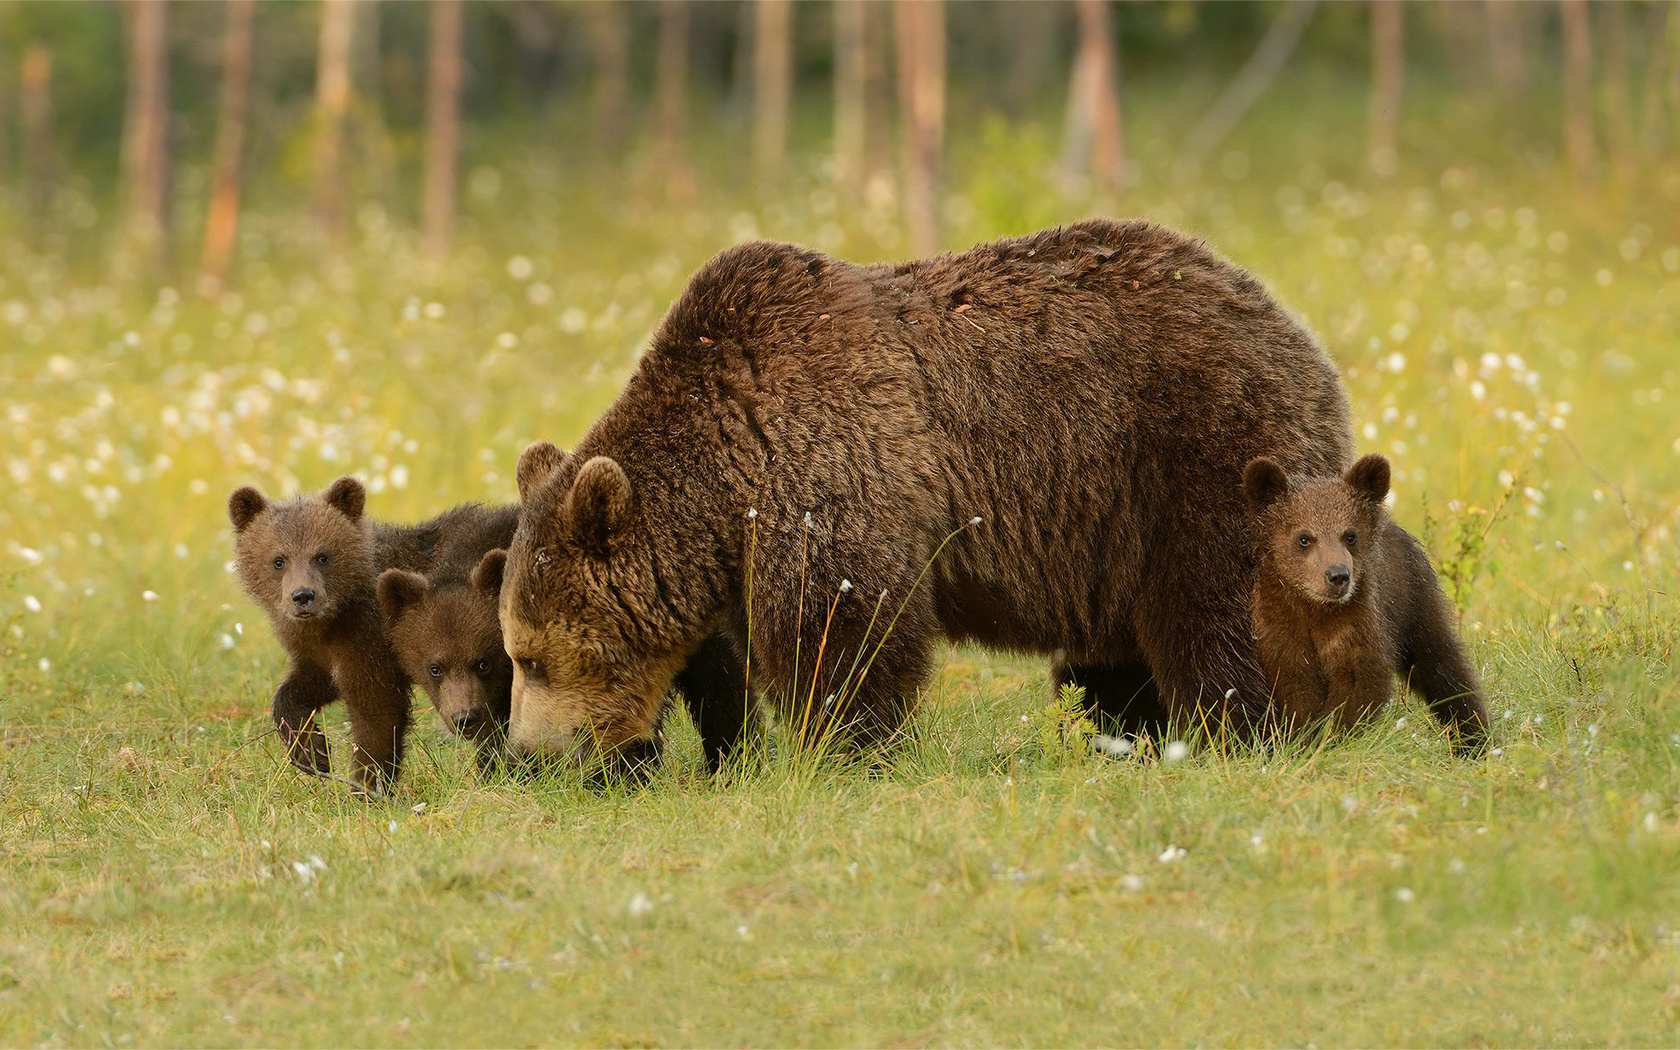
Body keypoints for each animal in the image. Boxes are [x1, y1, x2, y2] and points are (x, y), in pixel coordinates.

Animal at [493, 216, 1350, 766]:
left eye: (531, 657)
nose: (530, 753)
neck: (726, 468)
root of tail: (1299, 335)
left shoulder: (830, 461)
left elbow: (844, 626)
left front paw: (839, 746)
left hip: (1199, 451)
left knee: (1217, 605)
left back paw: (1237, 728)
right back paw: (1126, 732)